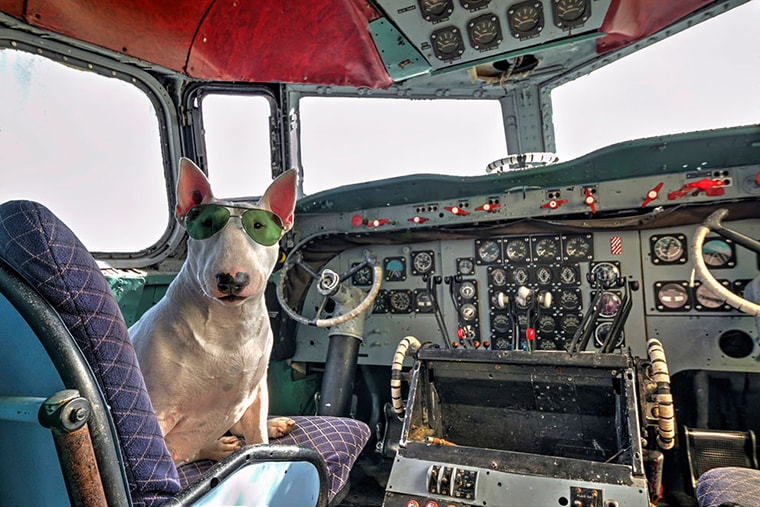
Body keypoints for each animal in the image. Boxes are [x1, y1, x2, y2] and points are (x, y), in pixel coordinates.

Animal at [131, 158, 296, 464]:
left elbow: (257, 436)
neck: (229, 327)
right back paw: (220, 446)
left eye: (259, 226)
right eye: (206, 224)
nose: (232, 279)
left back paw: (274, 424)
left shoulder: (256, 389)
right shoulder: (157, 413)